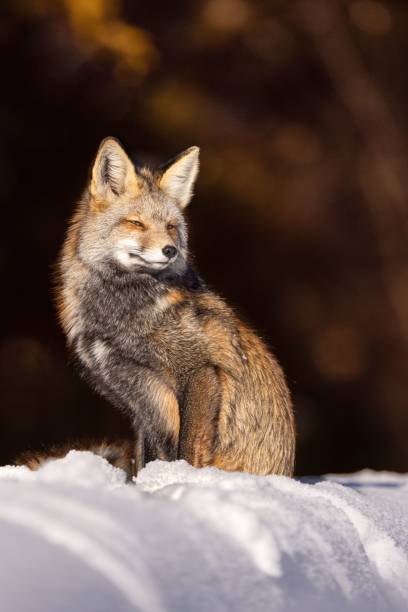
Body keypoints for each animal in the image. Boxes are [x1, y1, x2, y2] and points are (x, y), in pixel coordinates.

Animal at [53, 140, 296, 478]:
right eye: (136, 222)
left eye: (170, 227)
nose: (170, 250)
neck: (120, 317)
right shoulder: (143, 405)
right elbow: (145, 460)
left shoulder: (200, 370)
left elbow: (187, 451)